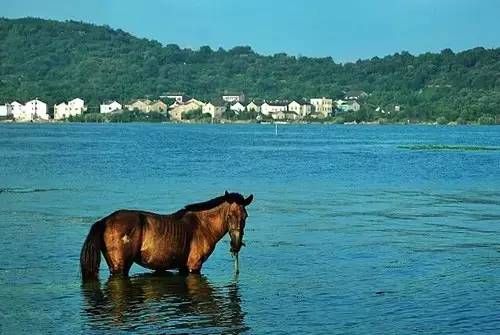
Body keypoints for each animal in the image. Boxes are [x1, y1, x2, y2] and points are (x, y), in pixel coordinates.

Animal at [82, 192, 256, 280]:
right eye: (229, 216)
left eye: (245, 216)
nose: (236, 244)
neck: (202, 225)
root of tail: (104, 221)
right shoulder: (194, 266)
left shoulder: (183, 267)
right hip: (120, 267)